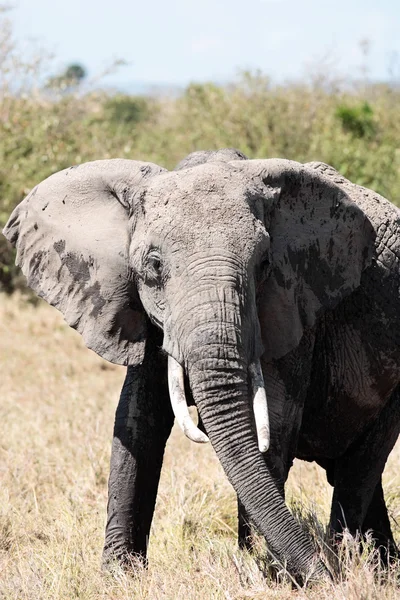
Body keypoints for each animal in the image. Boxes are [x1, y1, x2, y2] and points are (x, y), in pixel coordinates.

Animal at [3, 148, 400, 584]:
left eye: (264, 264)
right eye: (154, 265)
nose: (320, 578)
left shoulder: (292, 307)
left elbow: (273, 425)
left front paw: (267, 576)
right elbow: (138, 422)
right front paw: (120, 577)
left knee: (359, 466)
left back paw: (348, 562)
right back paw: (377, 567)